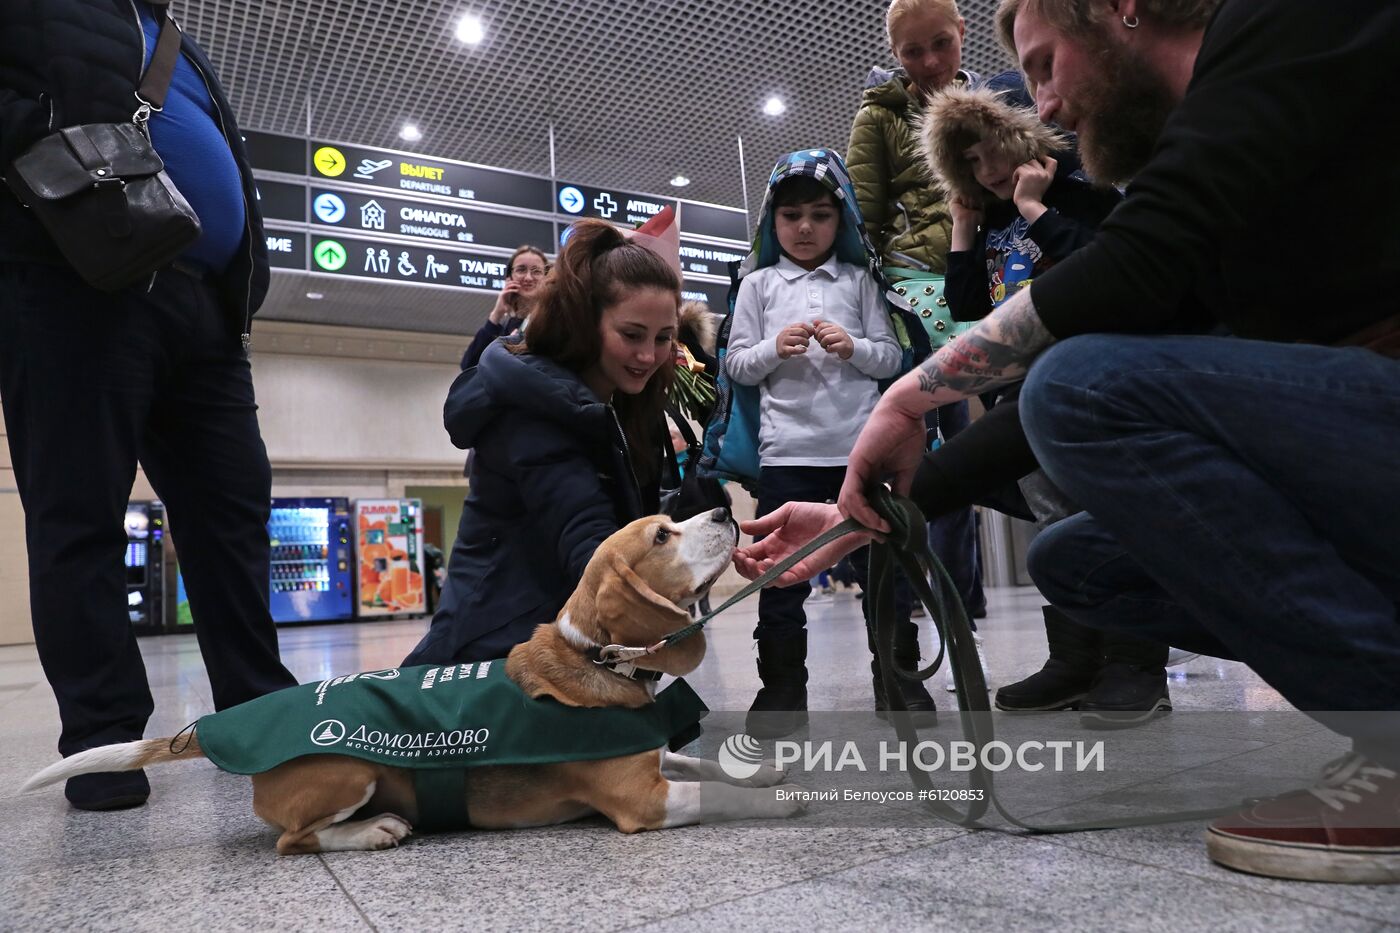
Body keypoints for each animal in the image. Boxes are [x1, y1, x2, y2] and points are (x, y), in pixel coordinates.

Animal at [19, 509, 812, 851]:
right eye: (661, 535)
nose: (725, 507)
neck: (596, 659)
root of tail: (217, 725)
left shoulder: (653, 758)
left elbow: (703, 762)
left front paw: (765, 769)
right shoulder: (640, 800)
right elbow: (712, 791)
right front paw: (782, 802)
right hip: (347, 771)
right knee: (296, 841)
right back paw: (373, 831)